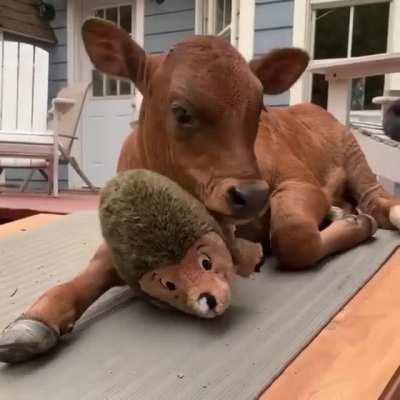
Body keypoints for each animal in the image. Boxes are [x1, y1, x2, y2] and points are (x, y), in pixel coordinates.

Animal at [0, 18, 400, 362]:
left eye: (259, 109)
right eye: (181, 112)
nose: (252, 195)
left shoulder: (298, 180)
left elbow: (293, 236)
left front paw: (353, 226)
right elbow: (90, 272)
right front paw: (35, 319)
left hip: (351, 151)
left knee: (375, 199)